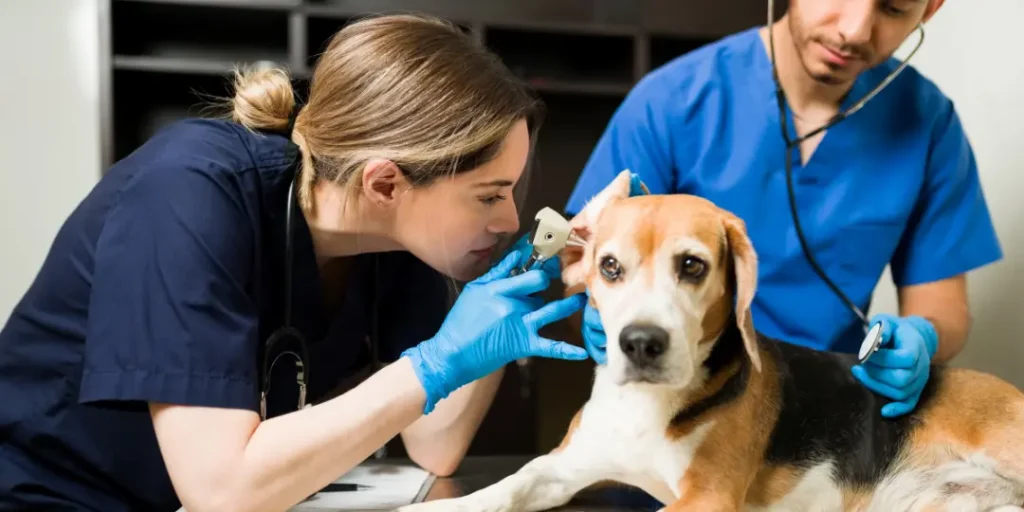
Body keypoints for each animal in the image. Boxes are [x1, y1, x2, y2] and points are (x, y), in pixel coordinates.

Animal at [397, 172, 1024, 512]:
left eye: (693, 266)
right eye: (609, 266)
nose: (640, 343)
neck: (646, 408)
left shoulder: (708, 496)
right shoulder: (564, 466)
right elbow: (509, 484)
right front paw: (447, 503)